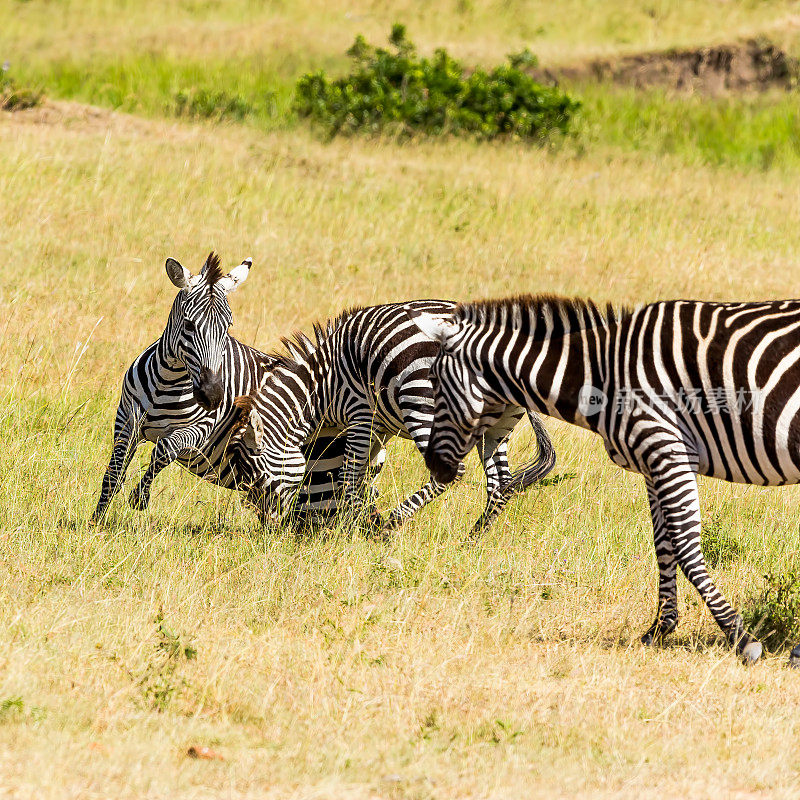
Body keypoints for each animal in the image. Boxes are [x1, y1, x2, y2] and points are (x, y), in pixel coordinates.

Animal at [90, 252, 384, 524]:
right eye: (188, 324)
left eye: (228, 326)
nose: (212, 396)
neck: (168, 381)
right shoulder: (126, 422)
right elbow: (113, 473)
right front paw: (97, 522)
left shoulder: (201, 430)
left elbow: (165, 448)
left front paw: (140, 495)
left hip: (318, 475)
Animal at [219, 304, 556, 536]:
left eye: (250, 475)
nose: (271, 527)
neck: (319, 388)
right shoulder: (380, 427)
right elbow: (365, 476)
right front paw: (360, 518)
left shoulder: (360, 415)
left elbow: (349, 477)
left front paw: (355, 528)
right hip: (498, 425)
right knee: (500, 484)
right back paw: (472, 540)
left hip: (424, 405)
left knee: (453, 472)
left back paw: (391, 524)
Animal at [410, 296, 800, 668]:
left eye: (435, 383)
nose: (436, 467)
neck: (604, 376)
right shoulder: (652, 463)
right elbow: (663, 545)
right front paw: (660, 628)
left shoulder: (667, 448)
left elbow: (686, 549)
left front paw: (740, 637)